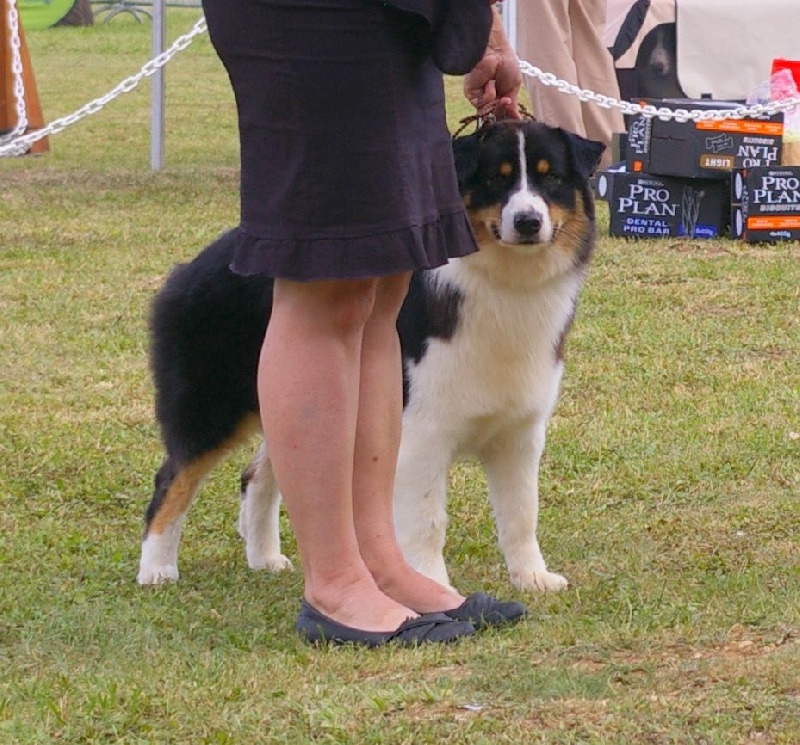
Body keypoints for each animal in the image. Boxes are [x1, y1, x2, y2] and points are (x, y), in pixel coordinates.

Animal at [137, 119, 604, 592]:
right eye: (495, 178)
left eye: (551, 177)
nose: (527, 221)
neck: (504, 282)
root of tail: (188, 269)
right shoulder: (421, 432)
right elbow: (426, 522)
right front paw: (435, 588)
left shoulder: (520, 432)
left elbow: (521, 515)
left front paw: (532, 578)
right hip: (211, 407)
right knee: (171, 480)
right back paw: (156, 569)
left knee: (258, 476)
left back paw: (264, 557)